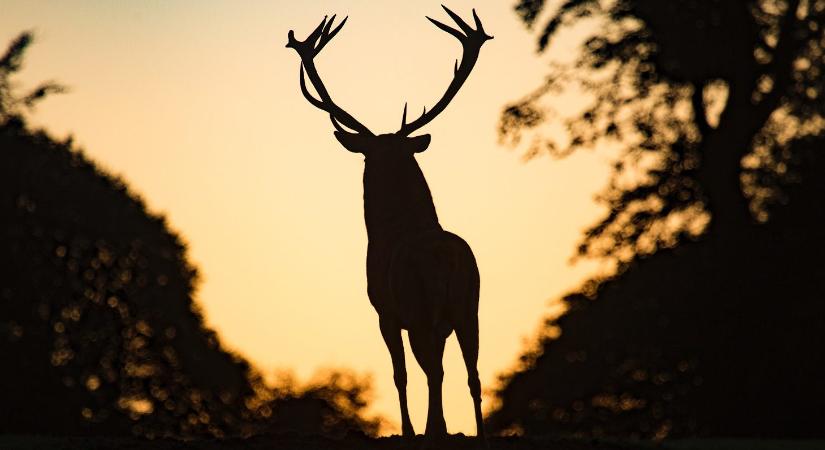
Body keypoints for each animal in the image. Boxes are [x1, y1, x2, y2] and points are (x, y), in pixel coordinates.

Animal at [284, 5, 490, 442]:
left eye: (367, 155)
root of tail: (446, 260)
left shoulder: (384, 311)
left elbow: (399, 375)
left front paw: (411, 430)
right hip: (471, 306)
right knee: (473, 375)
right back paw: (476, 432)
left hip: (421, 307)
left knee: (433, 371)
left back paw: (433, 430)